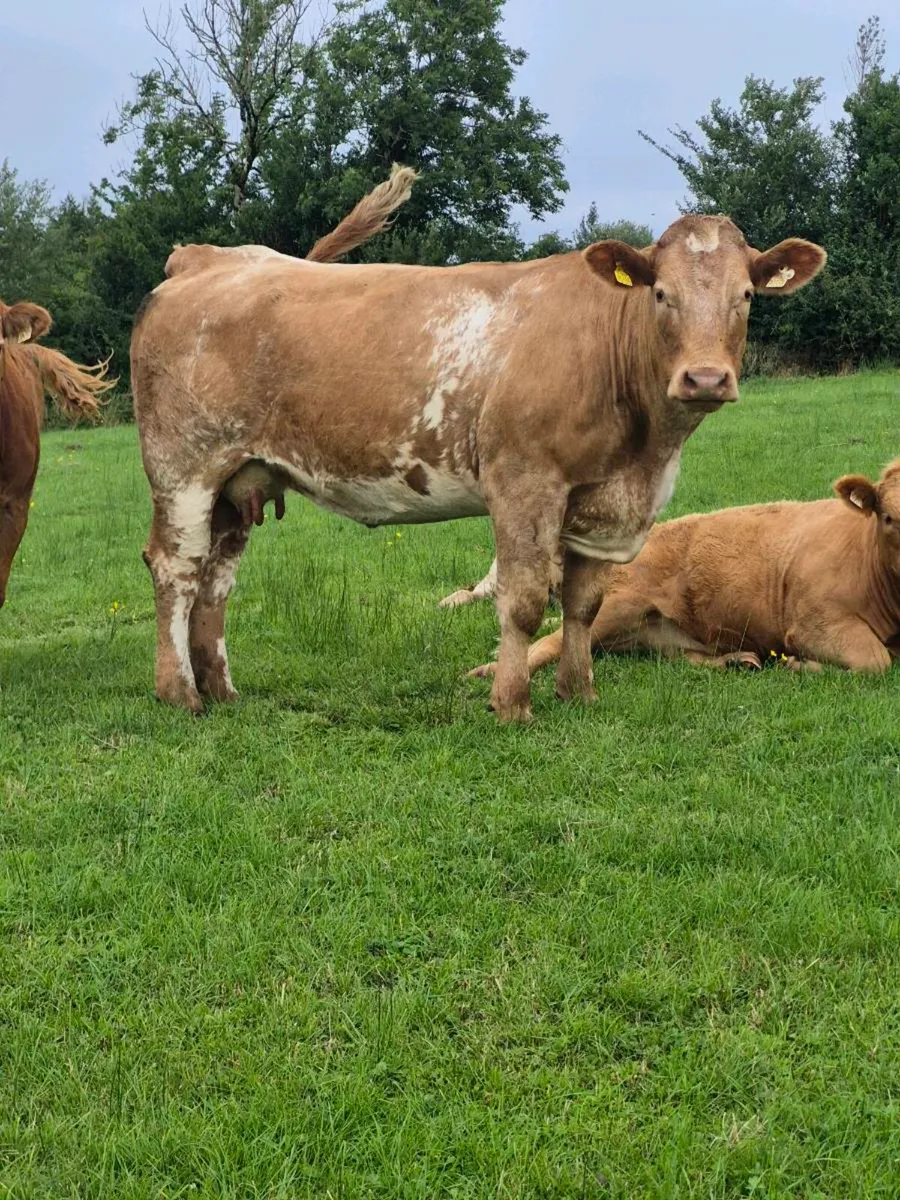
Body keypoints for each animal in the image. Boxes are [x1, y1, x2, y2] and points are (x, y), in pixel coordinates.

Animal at [131, 201, 826, 721]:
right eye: (661, 293)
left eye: (745, 295)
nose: (705, 378)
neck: (646, 455)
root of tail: (207, 257)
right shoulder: (523, 482)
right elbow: (524, 600)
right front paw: (512, 703)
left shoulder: (600, 503)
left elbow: (583, 604)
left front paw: (579, 692)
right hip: (183, 469)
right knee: (177, 569)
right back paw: (180, 693)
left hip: (236, 480)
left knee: (217, 580)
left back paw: (222, 690)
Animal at [470, 461, 900, 681]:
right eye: (888, 517)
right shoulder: (814, 624)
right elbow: (875, 661)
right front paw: (800, 664)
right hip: (616, 605)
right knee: (550, 643)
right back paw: (489, 672)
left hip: (661, 632)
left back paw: (737, 660)